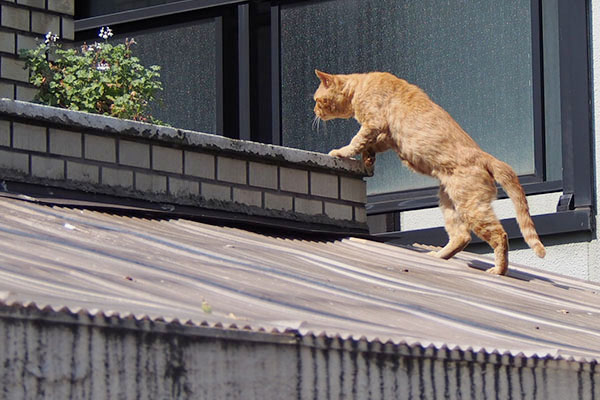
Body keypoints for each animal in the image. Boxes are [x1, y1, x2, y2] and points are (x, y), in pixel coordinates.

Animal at [316, 69, 548, 276]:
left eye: (317, 100)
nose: (315, 112)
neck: (360, 85)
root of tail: (486, 156)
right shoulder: (388, 137)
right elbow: (369, 146)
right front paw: (368, 160)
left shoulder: (374, 122)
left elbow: (357, 141)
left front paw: (340, 152)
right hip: (448, 202)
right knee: (461, 236)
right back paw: (438, 256)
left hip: (471, 206)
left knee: (499, 235)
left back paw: (498, 271)